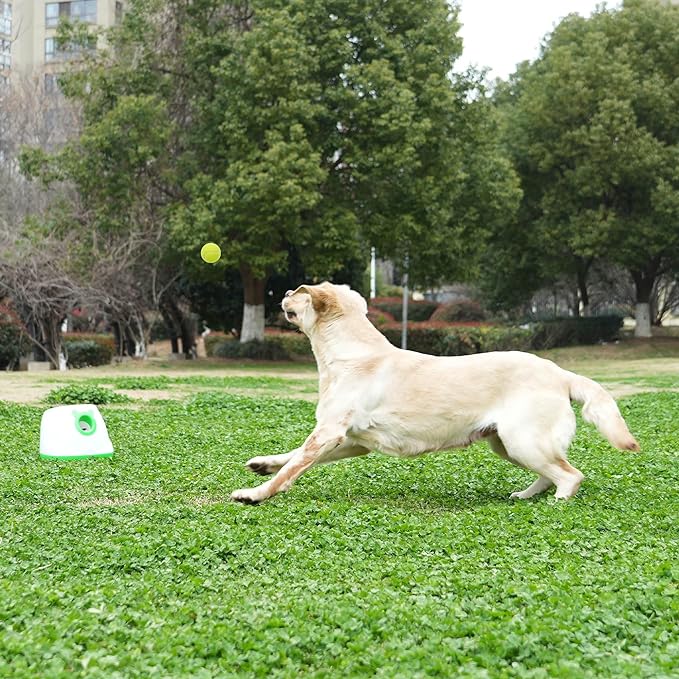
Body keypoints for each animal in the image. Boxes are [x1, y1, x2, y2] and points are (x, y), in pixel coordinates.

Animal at [231, 282, 640, 504]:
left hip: (522, 440)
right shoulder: (352, 441)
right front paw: (263, 464)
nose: (285, 291)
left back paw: (557, 501)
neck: (350, 352)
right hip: (507, 444)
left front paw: (255, 494)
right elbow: (293, 456)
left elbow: (293, 468)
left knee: (570, 475)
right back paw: (525, 496)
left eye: (300, 291)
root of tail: (560, 373)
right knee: (551, 471)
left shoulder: (330, 432)